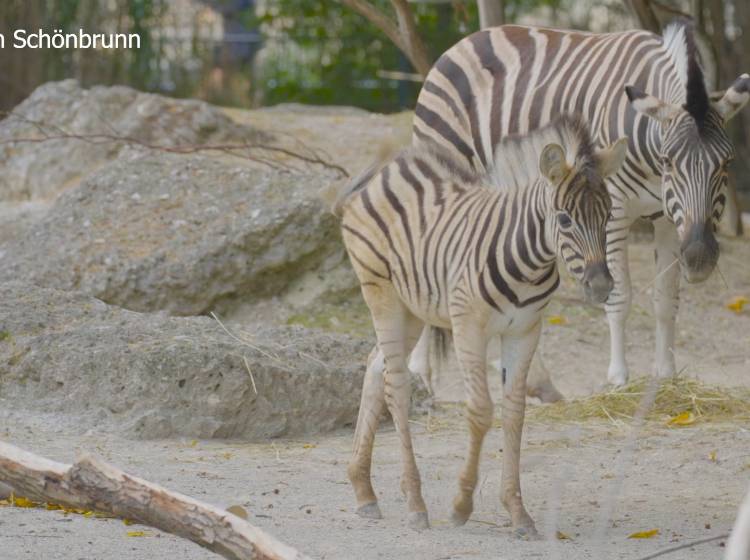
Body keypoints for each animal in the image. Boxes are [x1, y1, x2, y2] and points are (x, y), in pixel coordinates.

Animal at [334, 115, 627, 534]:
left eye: (607, 217)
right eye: (565, 219)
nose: (601, 286)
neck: (528, 260)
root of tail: (385, 167)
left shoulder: (525, 331)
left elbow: (515, 412)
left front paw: (518, 511)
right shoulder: (468, 326)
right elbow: (481, 410)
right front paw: (461, 505)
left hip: (413, 308)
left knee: (376, 368)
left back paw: (364, 490)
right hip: (382, 295)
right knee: (396, 386)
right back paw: (415, 503)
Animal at [412, 21, 750, 389]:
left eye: (727, 163)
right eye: (669, 161)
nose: (700, 259)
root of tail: (472, 37)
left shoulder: (668, 218)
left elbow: (665, 298)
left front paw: (665, 374)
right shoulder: (615, 210)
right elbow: (620, 296)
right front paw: (618, 377)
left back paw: (528, 375)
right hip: (446, 158)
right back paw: (419, 371)